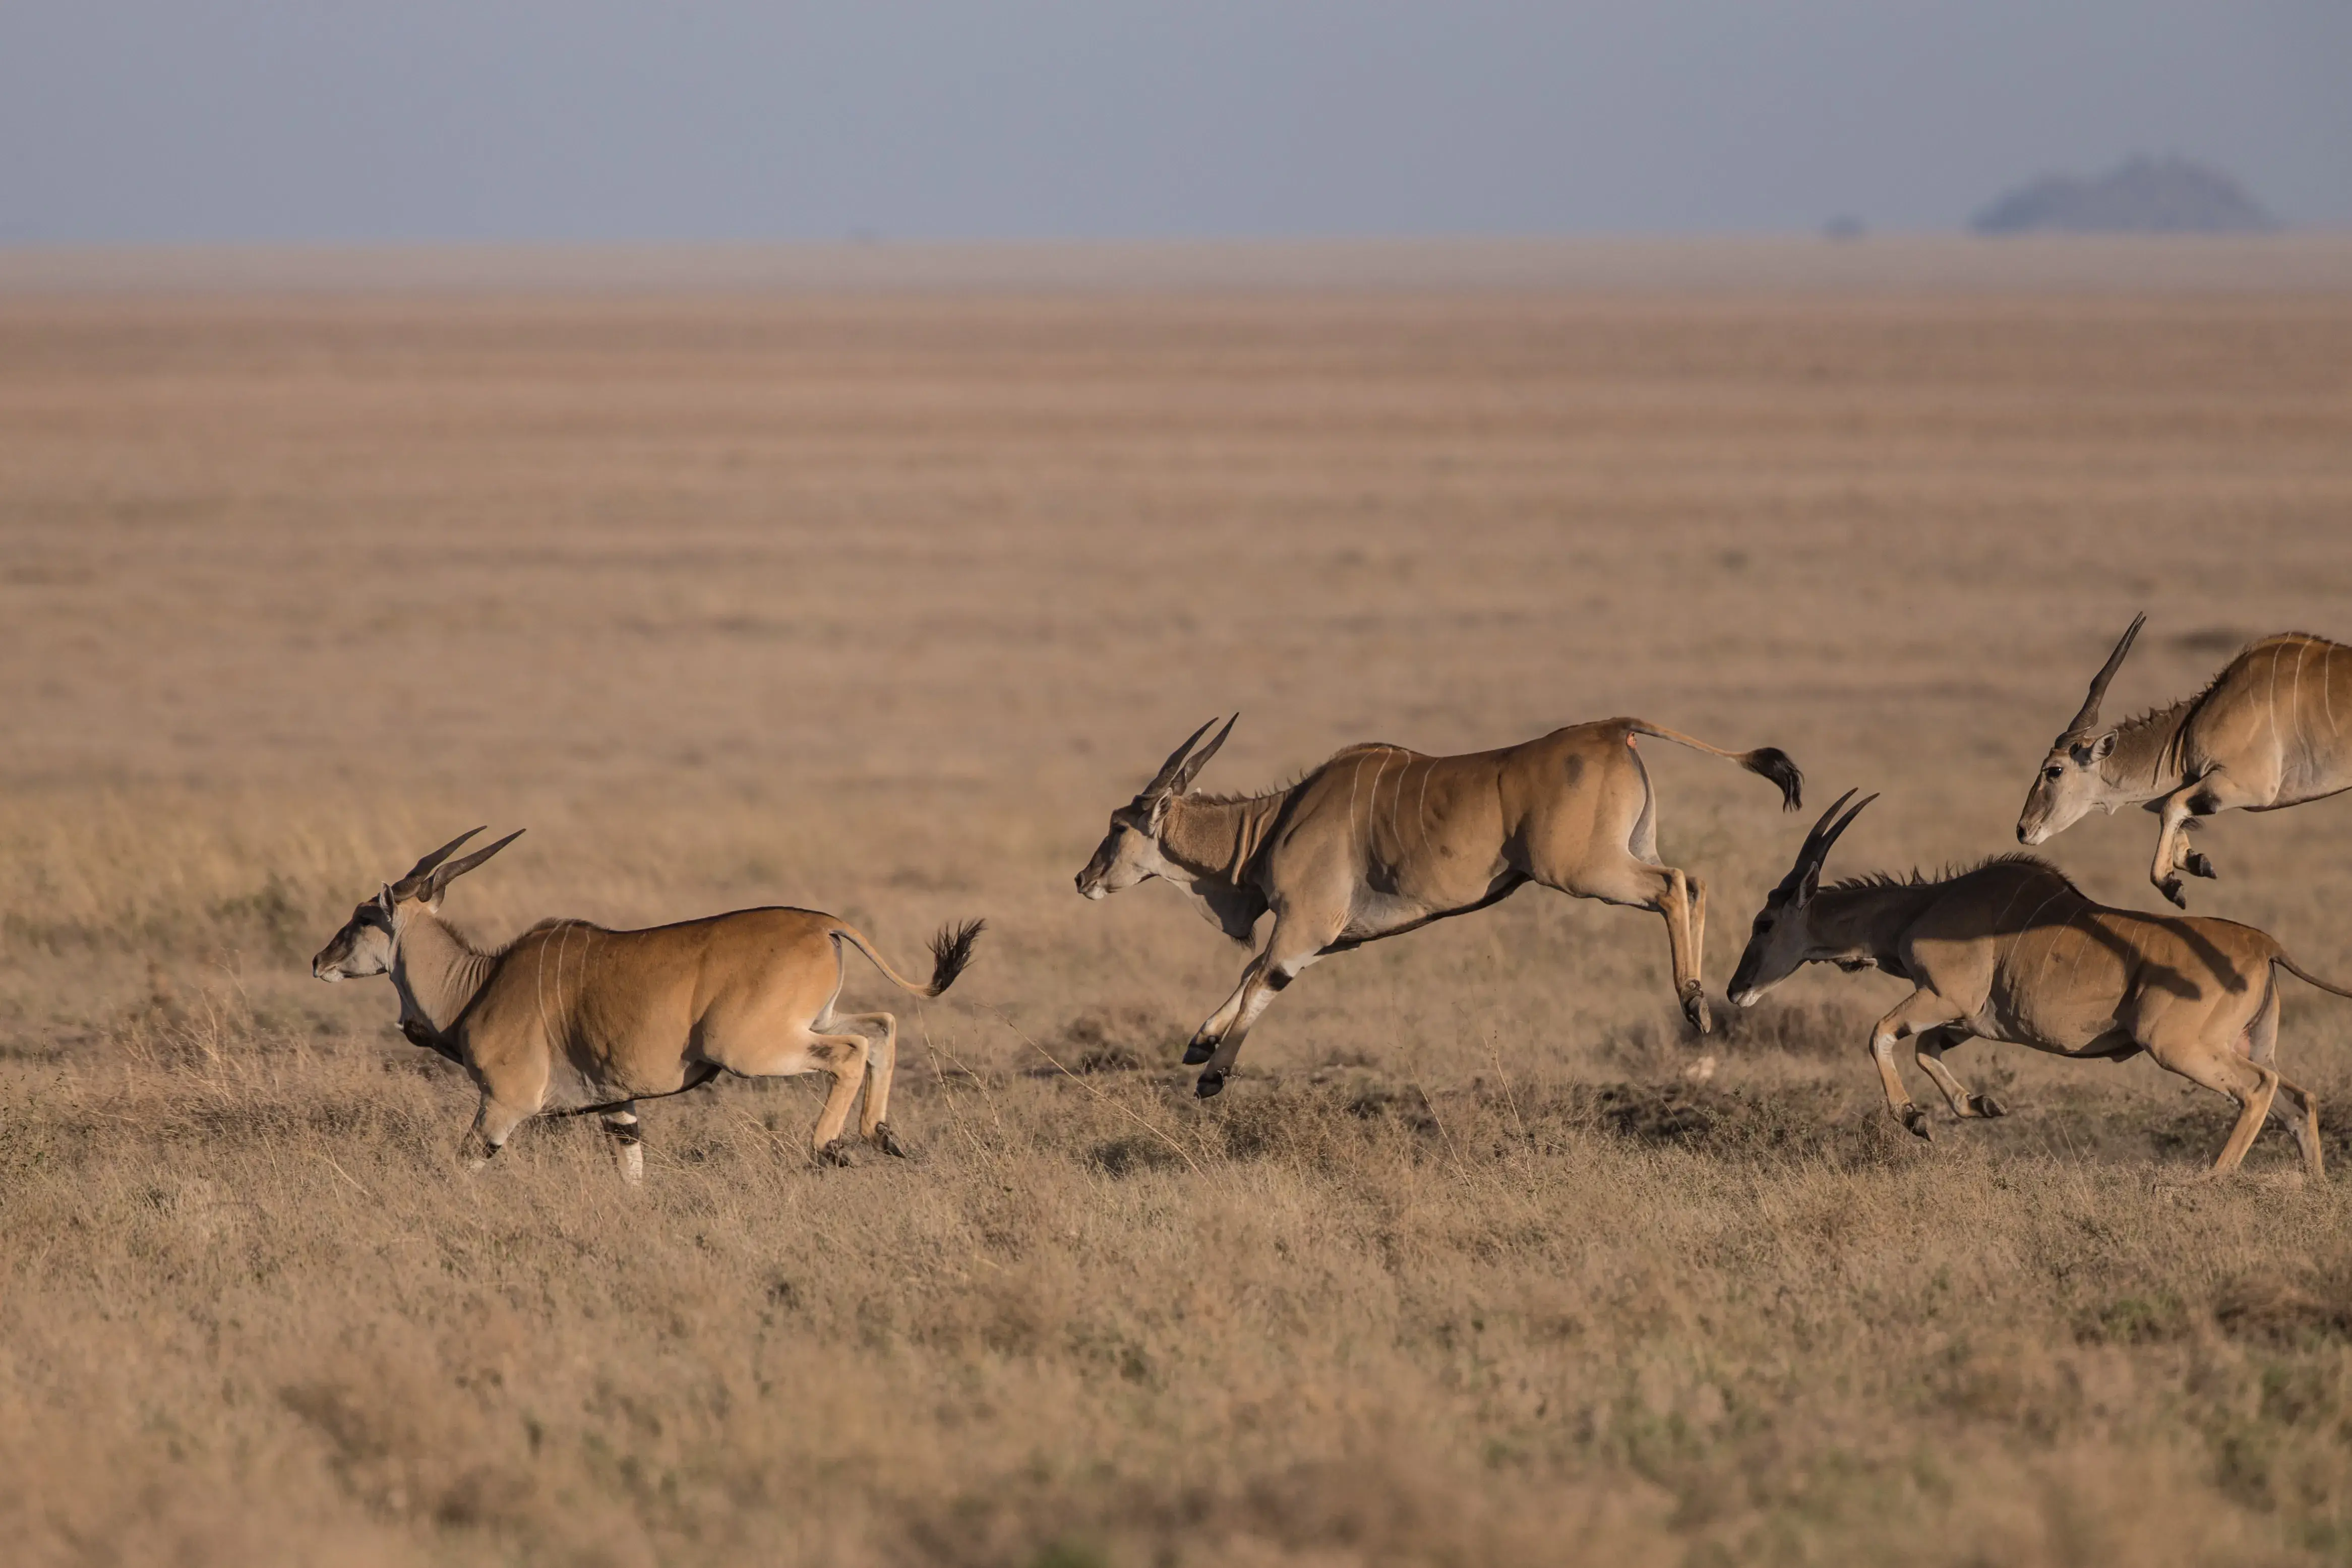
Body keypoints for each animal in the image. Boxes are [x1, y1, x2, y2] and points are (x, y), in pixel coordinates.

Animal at [308, 832, 978, 1175]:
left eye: (364, 915)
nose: (319, 961)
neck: (477, 983)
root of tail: (823, 923)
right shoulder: (618, 1105)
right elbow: (632, 1170)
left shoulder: (502, 1105)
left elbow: (464, 1163)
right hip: (809, 1022)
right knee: (881, 1026)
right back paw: (881, 1134)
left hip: (753, 1048)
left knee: (851, 1050)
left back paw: (831, 1145)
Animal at [1077, 719, 1797, 1100]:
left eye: (1117, 825)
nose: (1084, 878)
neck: (1274, 820)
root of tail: (1615, 729)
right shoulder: (1325, 935)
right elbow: (1252, 973)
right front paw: (1198, 1043)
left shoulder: (1307, 925)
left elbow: (1262, 980)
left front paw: (1213, 1073)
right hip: (1625, 853)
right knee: (1693, 880)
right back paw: (1702, 999)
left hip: (1587, 871)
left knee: (1675, 884)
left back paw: (1695, 1002)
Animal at [1731, 799, 2352, 1175]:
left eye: (1764, 922)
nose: (1737, 990)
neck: (1924, 906)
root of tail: (2263, 943)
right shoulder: (1968, 1018)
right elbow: (1926, 1048)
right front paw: (1980, 1103)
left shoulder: (1945, 999)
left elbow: (1881, 1033)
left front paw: (1915, 1118)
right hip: (2244, 1043)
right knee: (2298, 1099)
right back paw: (2311, 1186)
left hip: (2179, 1047)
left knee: (2258, 1088)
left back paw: (2212, 1178)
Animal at [2013, 611, 2352, 907]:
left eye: (2054, 770)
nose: (2023, 830)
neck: (2194, 722)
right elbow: (2170, 808)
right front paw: (2195, 860)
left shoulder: (2248, 787)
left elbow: (2170, 806)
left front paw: (2170, 882)